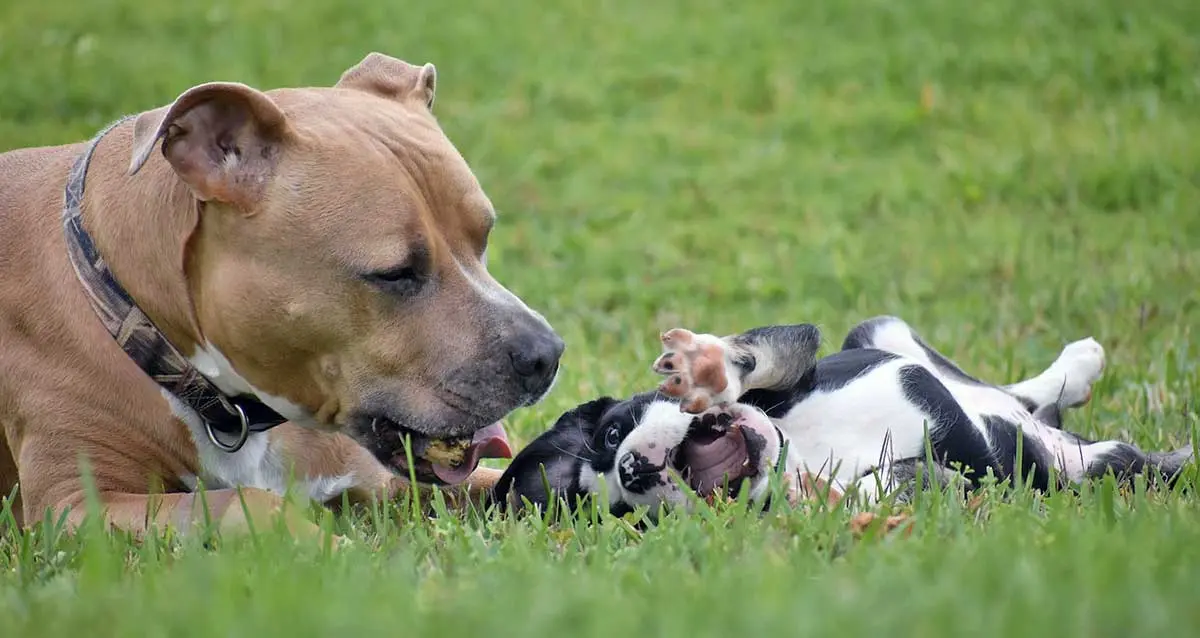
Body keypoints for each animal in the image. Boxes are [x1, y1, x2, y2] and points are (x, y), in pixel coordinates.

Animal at [492, 316, 1195, 515]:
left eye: (613, 431)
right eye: (624, 511)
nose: (633, 469)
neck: (796, 444)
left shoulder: (800, 351)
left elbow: (764, 353)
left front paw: (711, 367)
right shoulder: (975, 476)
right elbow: (909, 483)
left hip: (878, 328)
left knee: (1003, 390)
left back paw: (1075, 366)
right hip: (1074, 466)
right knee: (1099, 454)